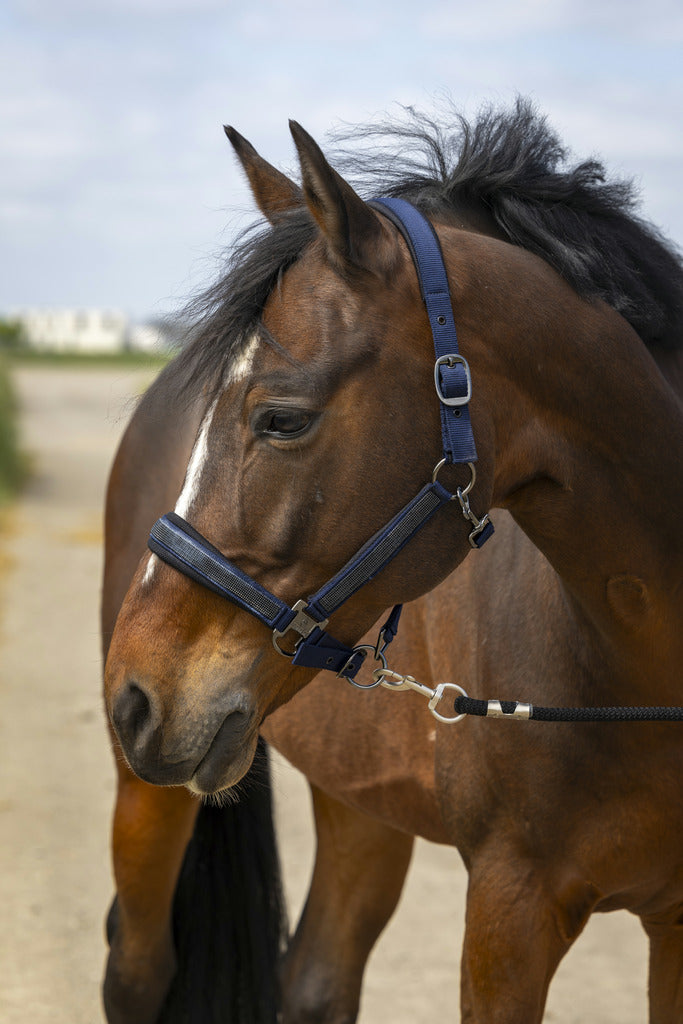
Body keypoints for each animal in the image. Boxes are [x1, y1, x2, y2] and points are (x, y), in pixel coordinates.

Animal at [101, 97, 683, 1024]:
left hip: (358, 799)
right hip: (148, 798)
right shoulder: (510, 906)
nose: (134, 696)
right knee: (137, 971)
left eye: (281, 419)